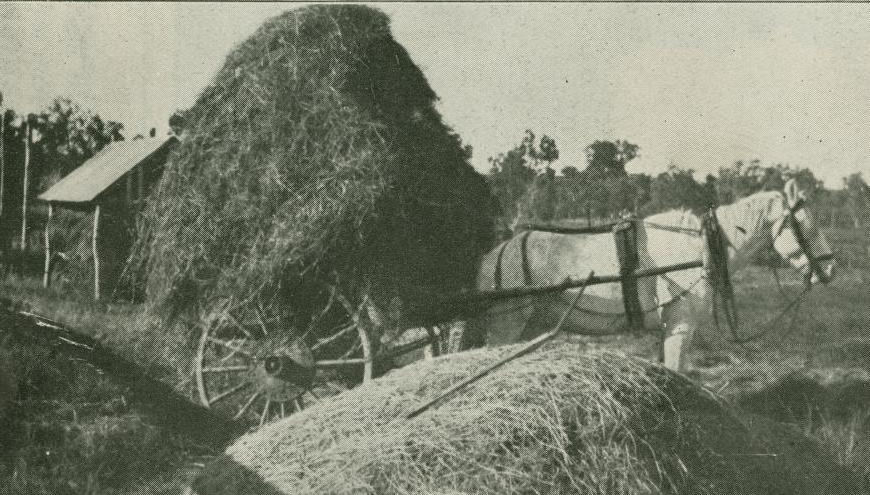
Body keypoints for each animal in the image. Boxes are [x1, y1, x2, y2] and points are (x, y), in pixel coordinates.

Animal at [464, 179, 836, 372]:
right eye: (807, 226)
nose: (831, 269)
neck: (699, 249)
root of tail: (492, 257)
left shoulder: (672, 326)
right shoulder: (681, 323)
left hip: (530, 325)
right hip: (506, 325)